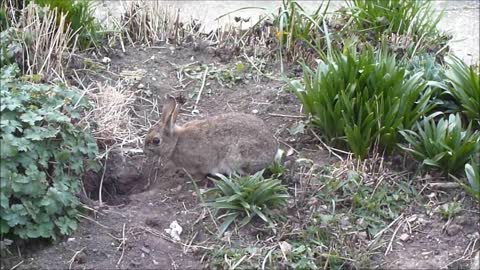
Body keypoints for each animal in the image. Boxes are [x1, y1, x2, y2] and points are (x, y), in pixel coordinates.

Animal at [142, 95, 278, 179]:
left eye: (156, 141)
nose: (144, 151)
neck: (176, 142)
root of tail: (272, 153)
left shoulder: (198, 164)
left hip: (239, 156)